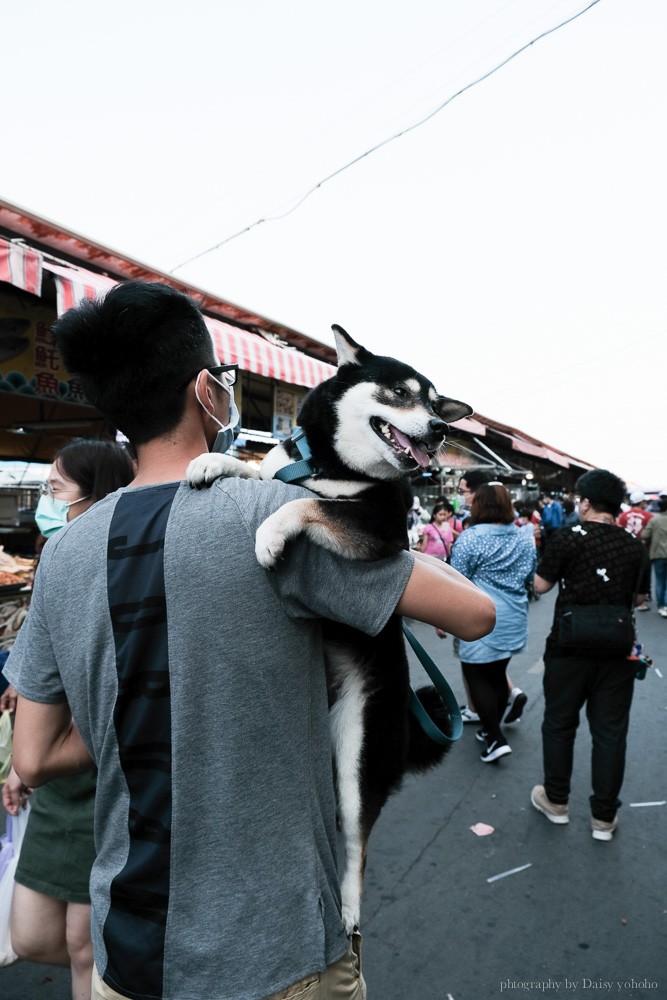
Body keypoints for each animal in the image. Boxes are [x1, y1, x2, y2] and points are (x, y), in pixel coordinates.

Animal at [185, 324, 472, 932]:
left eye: (438, 407)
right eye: (401, 392)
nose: (440, 430)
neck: (334, 467)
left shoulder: (382, 531)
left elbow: (309, 507)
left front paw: (270, 533)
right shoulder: (290, 473)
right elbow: (264, 473)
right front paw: (212, 462)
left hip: (359, 760)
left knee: (357, 845)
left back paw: (350, 907)